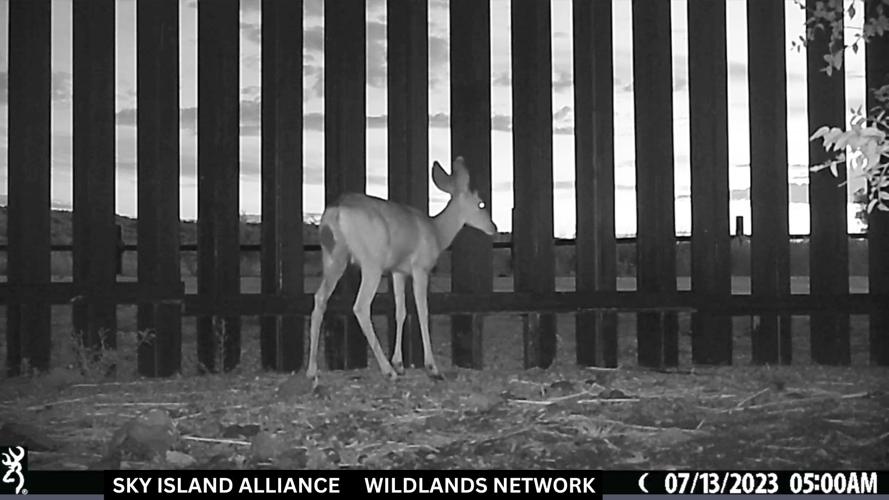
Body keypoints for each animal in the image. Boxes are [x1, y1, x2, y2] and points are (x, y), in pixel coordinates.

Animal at [306, 157, 497, 382]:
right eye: (481, 203)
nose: (493, 227)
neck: (437, 232)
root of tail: (336, 212)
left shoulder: (398, 271)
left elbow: (400, 311)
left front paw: (399, 363)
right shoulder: (420, 268)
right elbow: (423, 311)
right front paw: (431, 367)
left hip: (333, 257)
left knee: (320, 298)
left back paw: (312, 371)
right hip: (371, 262)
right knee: (360, 306)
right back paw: (387, 370)